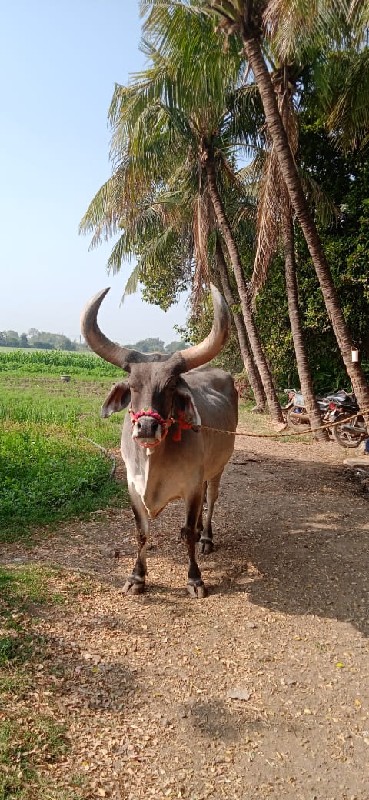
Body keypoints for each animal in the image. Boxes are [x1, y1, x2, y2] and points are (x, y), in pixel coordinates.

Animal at [79, 284, 237, 596]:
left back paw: (206, 538)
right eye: (132, 386)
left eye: (170, 386)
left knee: (211, 501)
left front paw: (195, 579)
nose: (146, 427)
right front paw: (136, 577)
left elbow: (189, 532)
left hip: (217, 469)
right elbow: (142, 533)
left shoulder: (192, 486)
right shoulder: (132, 486)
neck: (154, 462)